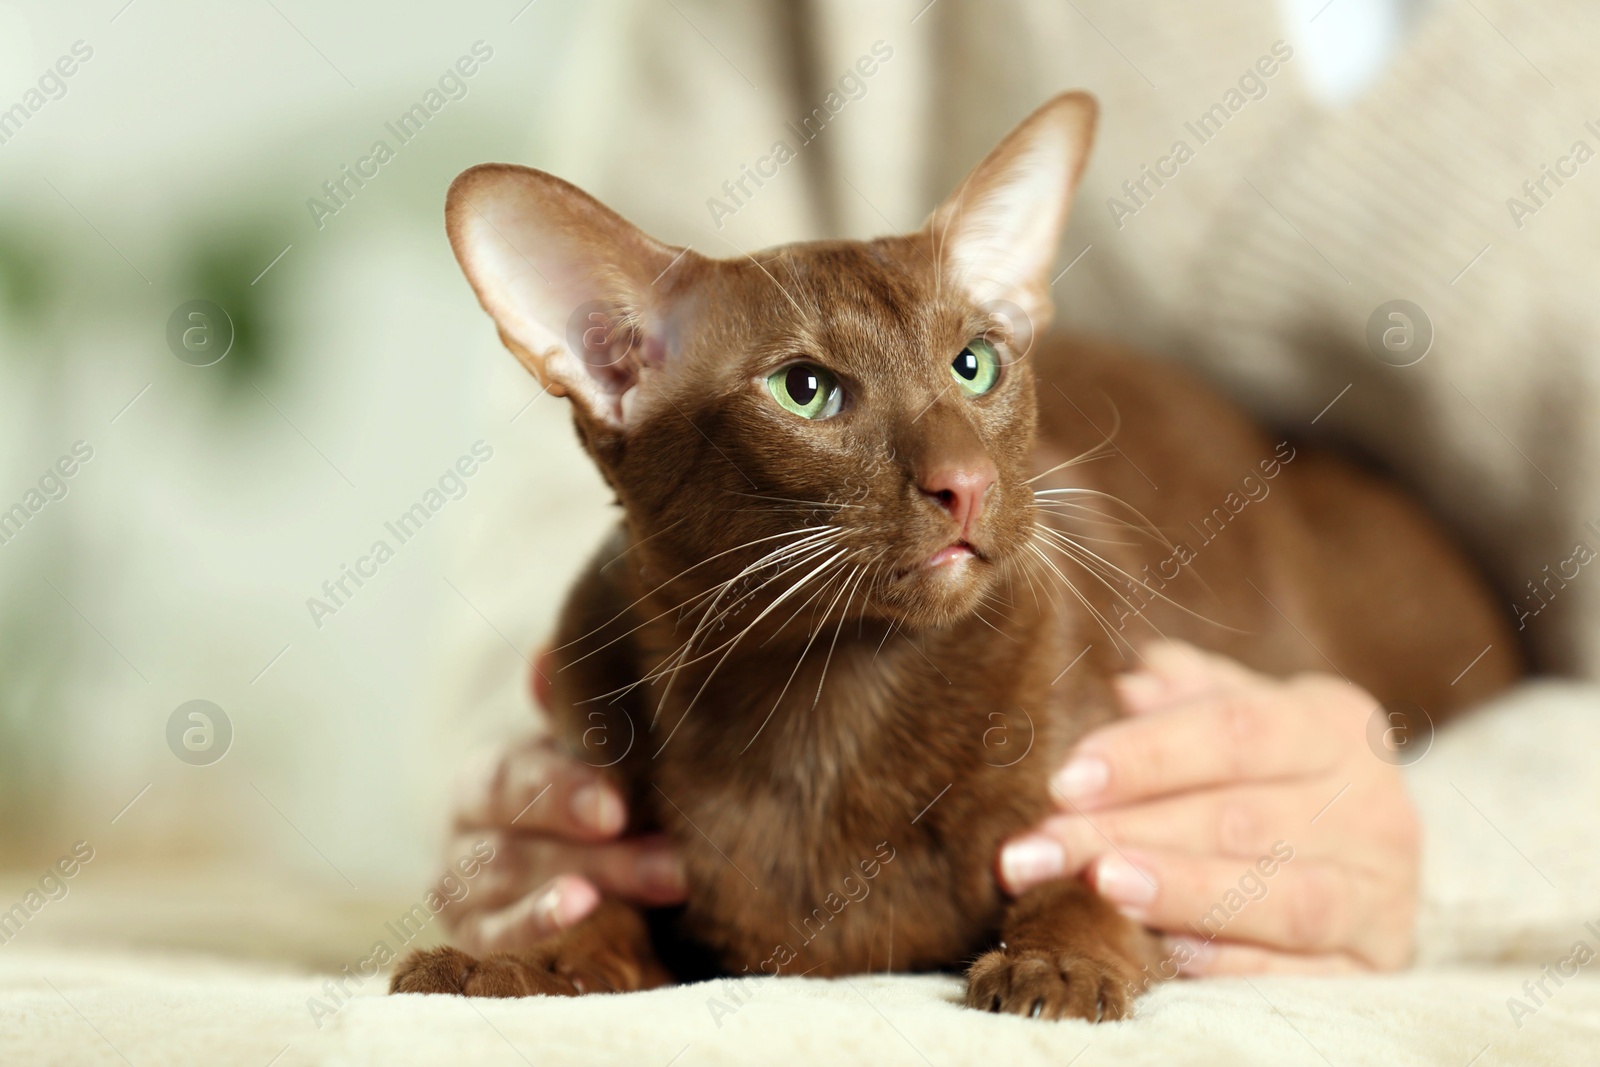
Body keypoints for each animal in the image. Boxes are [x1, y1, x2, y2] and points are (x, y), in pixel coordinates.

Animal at [393, 95, 1516, 1023]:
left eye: (975, 365)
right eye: (804, 390)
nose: (965, 482)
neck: (820, 702)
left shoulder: (1107, 795)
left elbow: (1095, 885)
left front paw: (1058, 966)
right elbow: (597, 921)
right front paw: (502, 964)